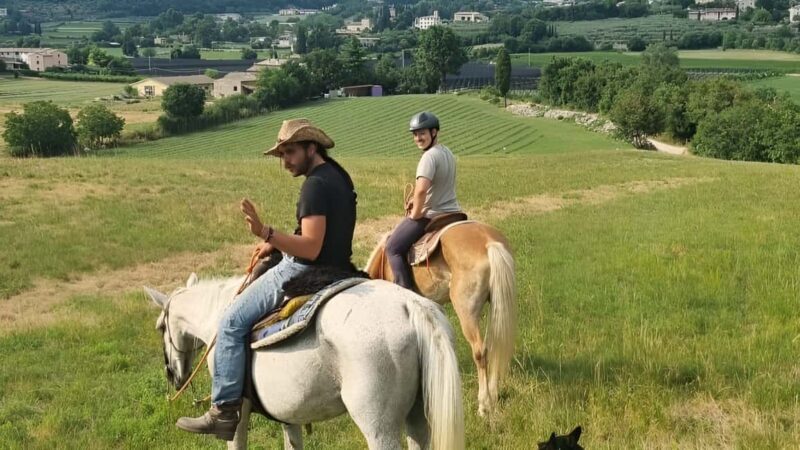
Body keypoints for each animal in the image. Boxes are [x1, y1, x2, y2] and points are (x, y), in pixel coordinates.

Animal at [144, 274, 464, 450]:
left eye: (160, 327)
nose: (173, 375)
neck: (218, 316)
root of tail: (411, 305)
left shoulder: (239, 411)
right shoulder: (289, 414)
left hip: (379, 427)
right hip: (417, 416)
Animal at [364, 221, 517, 416]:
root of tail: (489, 242)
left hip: (466, 312)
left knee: (480, 351)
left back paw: (484, 405)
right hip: (497, 305)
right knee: (495, 345)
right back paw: (494, 396)